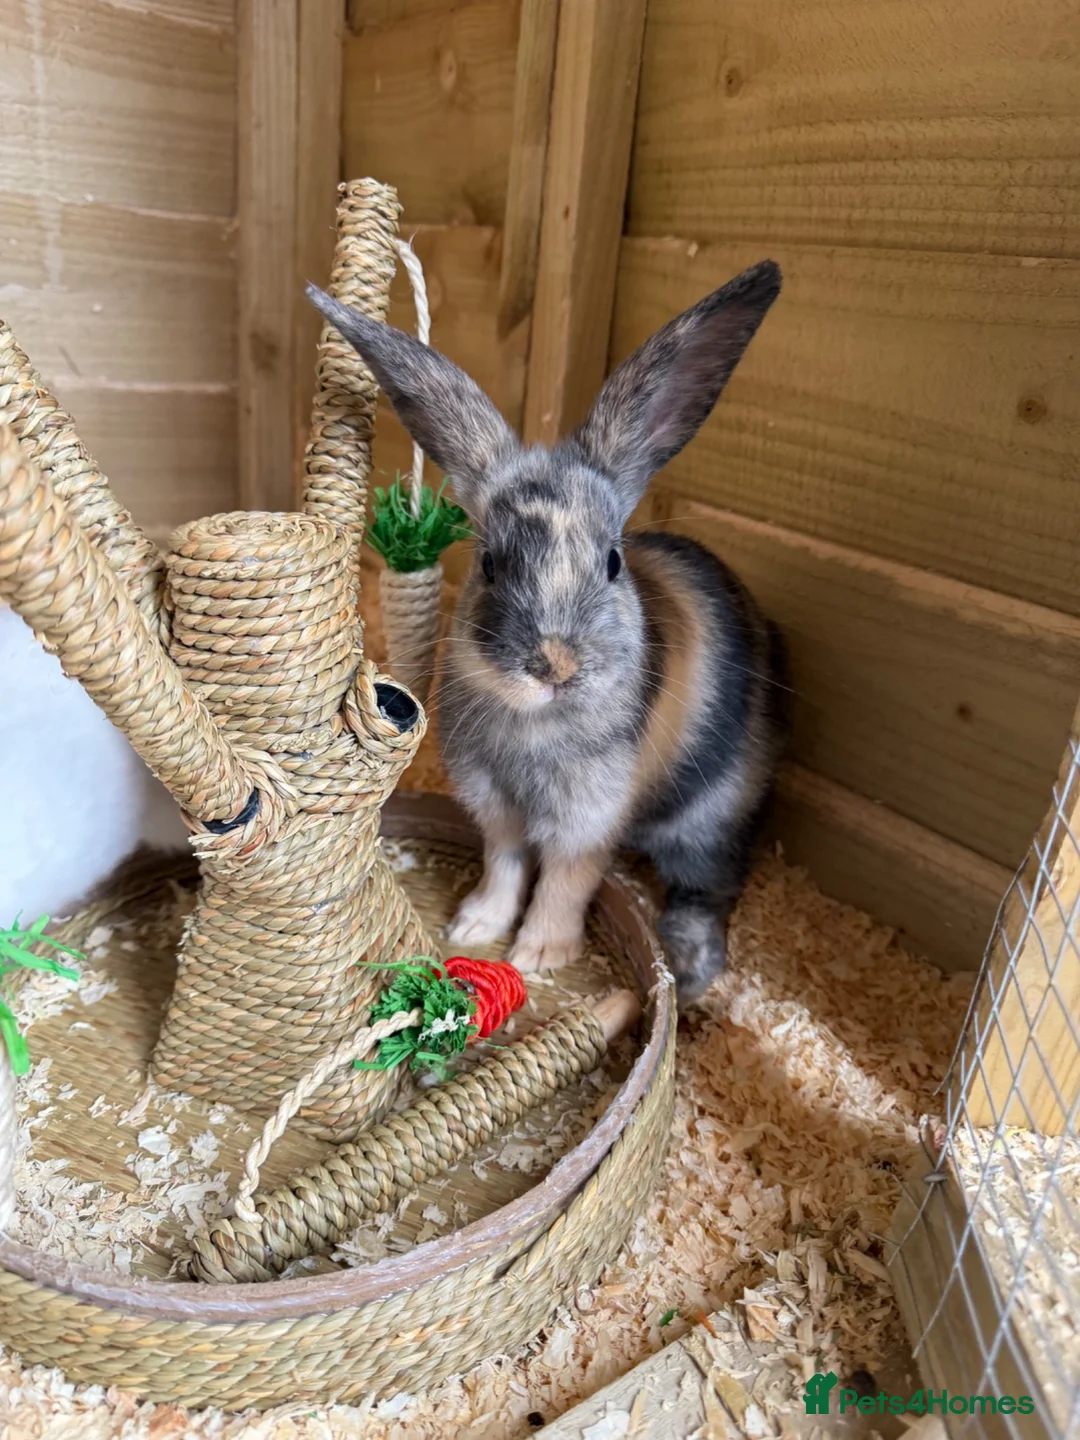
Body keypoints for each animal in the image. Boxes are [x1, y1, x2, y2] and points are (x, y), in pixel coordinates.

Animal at [307, 259, 788, 1003]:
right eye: (489, 564)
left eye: (613, 561)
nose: (554, 665)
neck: (532, 727)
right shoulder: (493, 802)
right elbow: (506, 863)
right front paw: (477, 924)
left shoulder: (587, 817)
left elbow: (566, 879)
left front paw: (540, 954)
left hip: (707, 817)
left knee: (709, 888)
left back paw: (690, 969)